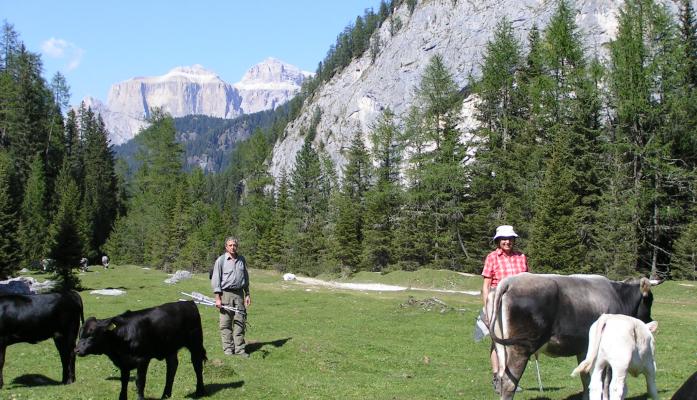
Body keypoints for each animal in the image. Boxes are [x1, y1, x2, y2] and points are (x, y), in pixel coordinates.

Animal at [77, 300, 207, 400]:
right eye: (80, 335)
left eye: (92, 335)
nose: (76, 350)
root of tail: (189, 302)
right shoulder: (124, 363)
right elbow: (124, 382)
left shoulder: (142, 359)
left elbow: (140, 381)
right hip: (170, 348)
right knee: (172, 367)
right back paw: (165, 395)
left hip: (195, 343)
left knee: (197, 365)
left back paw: (200, 391)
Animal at [486, 274, 656, 398]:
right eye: (649, 300)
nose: (650, 321)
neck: (619, 297)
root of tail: (509, 282)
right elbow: (605, 382)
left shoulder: (584, 349)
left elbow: (586, 379)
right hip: (520, 348)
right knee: (509, 383)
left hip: (502, 349)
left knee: (502, 378)